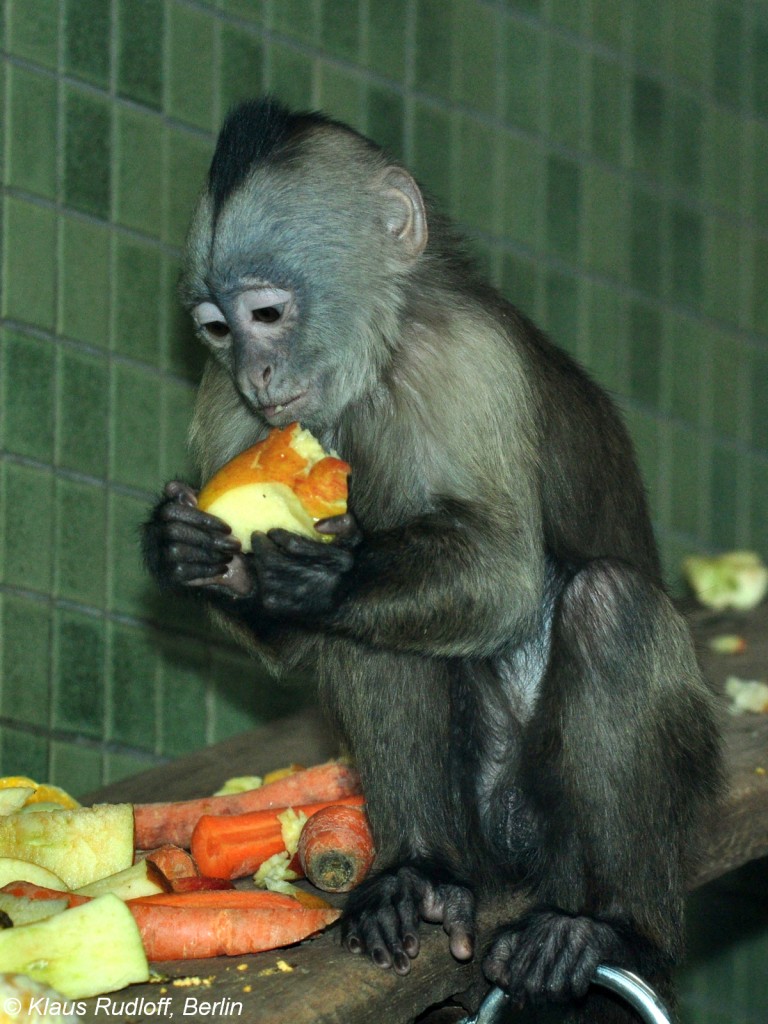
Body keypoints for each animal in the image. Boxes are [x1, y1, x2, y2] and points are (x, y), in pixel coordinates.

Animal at [143, 97, 720, 1024]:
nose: (257, 369)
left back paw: (606, 928)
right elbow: (296, 633)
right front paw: (191, 554)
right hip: (477, 817)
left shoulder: (468, 359)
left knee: (609, 606)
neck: (375, 368)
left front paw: (329, 574)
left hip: (601, 813)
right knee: (375, 637)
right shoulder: (224, 403)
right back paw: (419, 876)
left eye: (267, 315)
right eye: (218, 331)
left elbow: (505, 580)